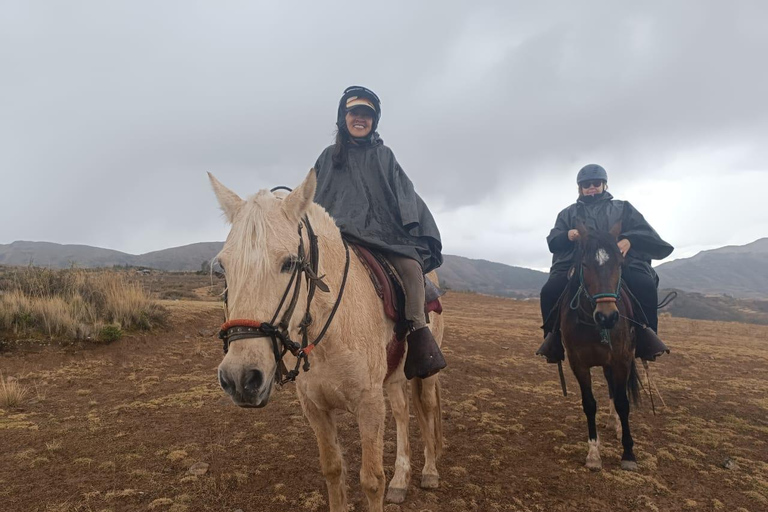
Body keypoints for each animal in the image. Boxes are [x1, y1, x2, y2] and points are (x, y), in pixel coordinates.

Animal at [208, 170, 444, 510]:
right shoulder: (315, 407)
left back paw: (429, 472)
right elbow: (333, 470)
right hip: (393, 378)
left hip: (425, 374)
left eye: (289, 263)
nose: (240, 378)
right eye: (223, 266)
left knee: (426, 409)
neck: (329, 336)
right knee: (402, 412)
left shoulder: (369, 405)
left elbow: (372, 480)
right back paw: (401, 480)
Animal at [560, 224, 640, 472]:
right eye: (585, 264)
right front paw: (594, 454)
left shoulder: (621, 360)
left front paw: (628, 453)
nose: (607, 317)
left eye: (620, 264)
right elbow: (589, 404)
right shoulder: (578, 364)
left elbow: (623, 403)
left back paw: (618, 426)